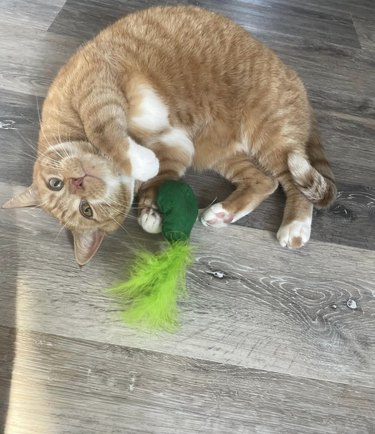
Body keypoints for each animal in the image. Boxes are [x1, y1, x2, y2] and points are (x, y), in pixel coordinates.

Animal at [2, 5, 338, 264]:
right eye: (86, 210)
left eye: (55, 184)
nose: (78, 181)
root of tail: (292, 75)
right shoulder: (178, 147)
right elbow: (159, 179)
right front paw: (151, 212)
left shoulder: (96, 88)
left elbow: (106, 131)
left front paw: (138, 163)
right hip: (218, 154)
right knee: (265, 181)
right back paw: (223, 213)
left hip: (269, 132)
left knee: (294, 180)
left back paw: (296, 226)